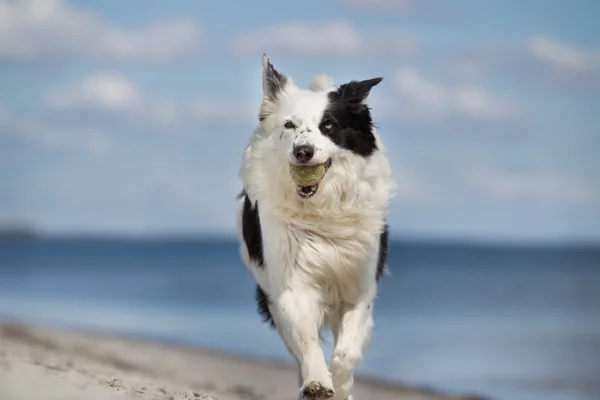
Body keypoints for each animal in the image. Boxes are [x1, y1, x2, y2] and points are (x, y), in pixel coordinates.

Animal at [237, 54, 396, 400]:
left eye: (329, 126)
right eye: (290, 125)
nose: (303, 151)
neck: (324, 211)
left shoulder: (358, 289)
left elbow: (346, 353)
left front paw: (341, 385)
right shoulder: (291, 285)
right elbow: (308, 341)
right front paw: (318, 383)